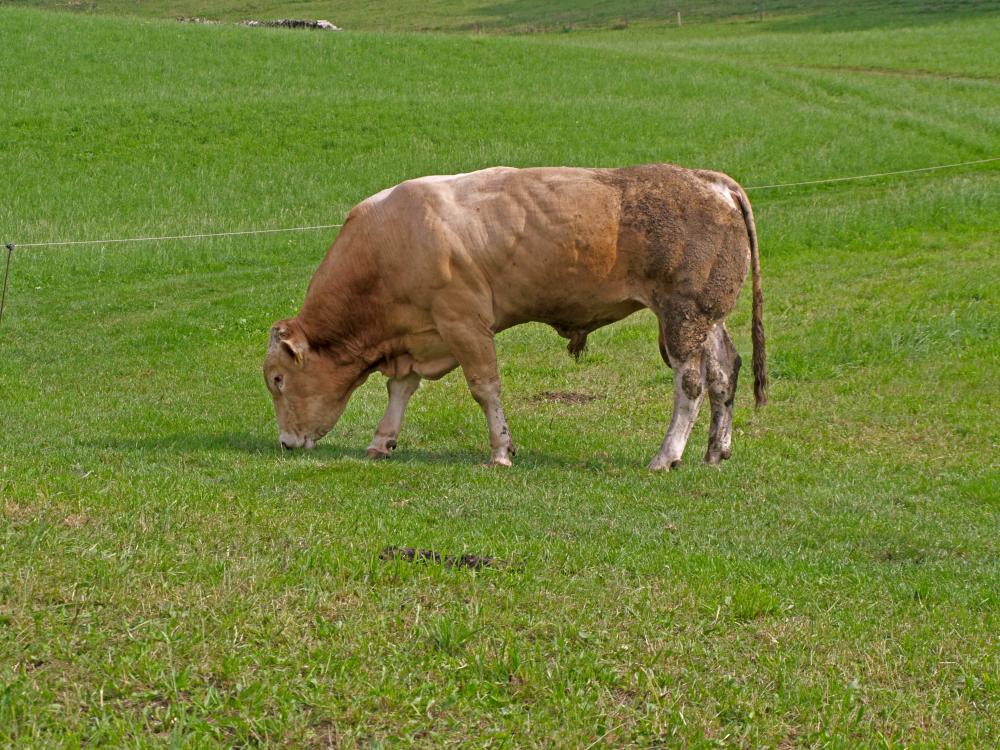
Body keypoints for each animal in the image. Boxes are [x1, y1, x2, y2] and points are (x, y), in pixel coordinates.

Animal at [264, 164, 764, 470]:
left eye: (277, 379)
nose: (285, 443)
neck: (390, 244)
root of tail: (709, 180)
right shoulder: (418, 334)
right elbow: (401, 388)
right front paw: (381, 440)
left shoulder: (463, 323)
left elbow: (485, 388)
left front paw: (501, 451)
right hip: (706, 320)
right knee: (723, 373)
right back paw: (715, 451)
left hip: (682, 317)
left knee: (691, 385)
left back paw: (666, 456)